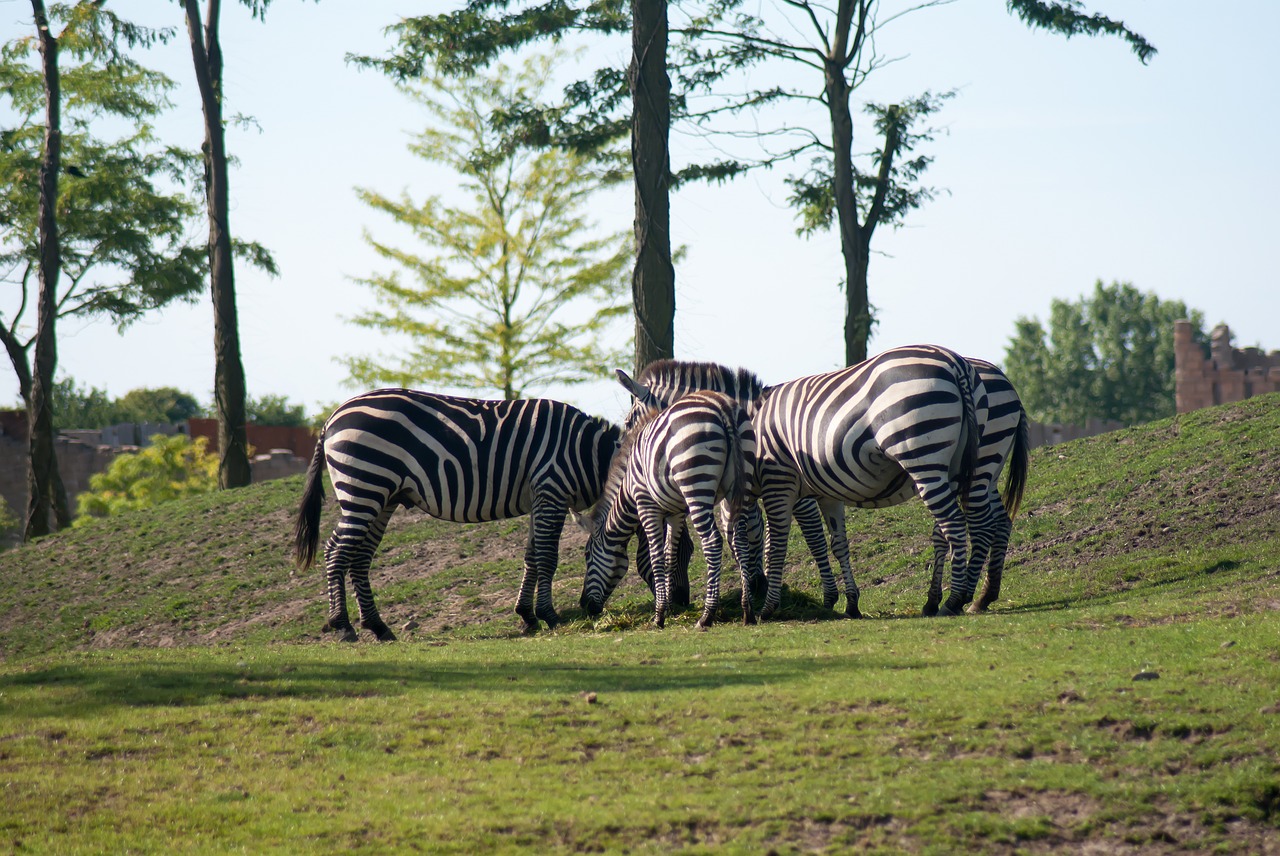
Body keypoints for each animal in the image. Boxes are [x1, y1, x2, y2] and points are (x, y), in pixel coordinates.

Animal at [295, 391, 624, 637]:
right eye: (585, 555)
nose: (590, 609)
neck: (586, 453)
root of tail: (332, 418)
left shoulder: (539, 499)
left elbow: (531, 556)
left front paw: (527, 616)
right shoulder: (551, 491)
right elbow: (546, 557)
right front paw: (549, 615)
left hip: (380, 497)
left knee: (360, 558)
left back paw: (378, 627)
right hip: (363, 487)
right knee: (335, 551)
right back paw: (343, 626)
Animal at [583, 388, 752, 626]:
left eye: (587, 555)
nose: (585, 606)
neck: (627, 487)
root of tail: (722, 406)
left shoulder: (646, 506)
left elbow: (656, 556)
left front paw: (659, 614)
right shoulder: (677, 511)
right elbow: (670, 554)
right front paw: (670, 604)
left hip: (696, 483)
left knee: (712, 541)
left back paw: (707, 615)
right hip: (740, 485)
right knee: (740, 539)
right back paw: (748, 610)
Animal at [747, 342, 977, 616]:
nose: (752, 594)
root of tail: (953, 361)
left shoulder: (779, 482)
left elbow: (777, 547)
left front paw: (769, 608)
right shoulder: (827, 494)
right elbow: (838, 544)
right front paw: (849, 603)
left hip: (924, 460)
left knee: (954, 524)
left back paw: (954, 600)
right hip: (954, 468)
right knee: (948, 528)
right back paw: (937, 601)